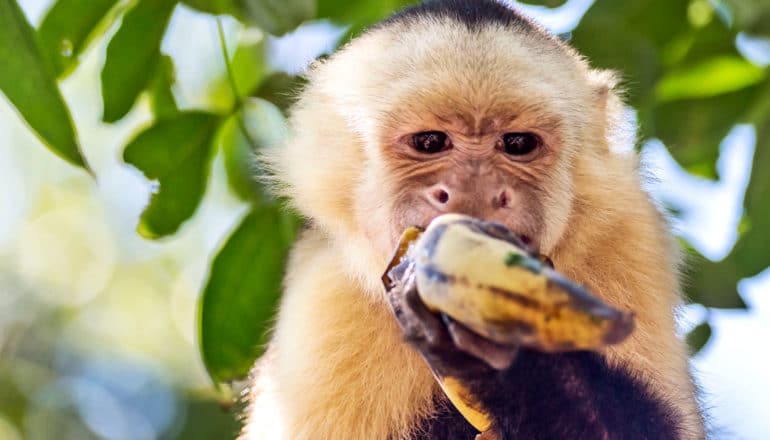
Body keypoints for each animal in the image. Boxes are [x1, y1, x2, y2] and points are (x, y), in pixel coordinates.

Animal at [240, 1, 704, 438]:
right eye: (430, 142)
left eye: (517, 144)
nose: (476, 190)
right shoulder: (323, 294)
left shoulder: (631, 233)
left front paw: (503, 352)